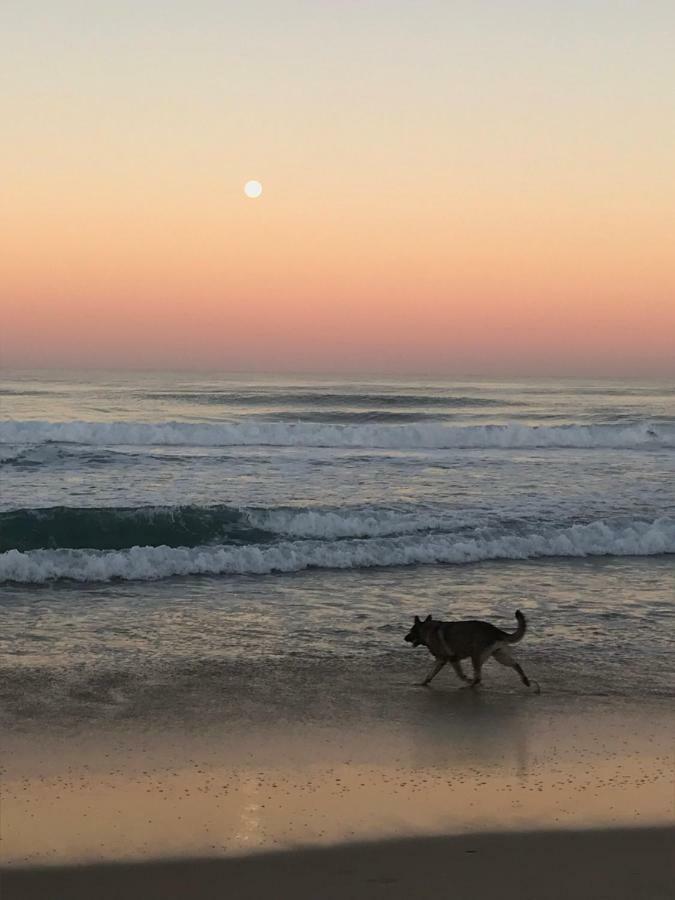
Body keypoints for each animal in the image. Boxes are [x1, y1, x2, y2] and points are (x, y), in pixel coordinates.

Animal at [404, 608, 540, 692]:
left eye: (411, 631)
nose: (404, 638)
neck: (426, 630)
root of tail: (494, 630)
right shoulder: (442, 660)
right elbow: (429, 674)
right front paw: (423, 683)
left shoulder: (449, 659)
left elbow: (460, 674)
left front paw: (467, 679)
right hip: (500, 656)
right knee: (516, 664)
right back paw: (525, 680)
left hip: (476, 657)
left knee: (478, 677)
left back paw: (470, 686)